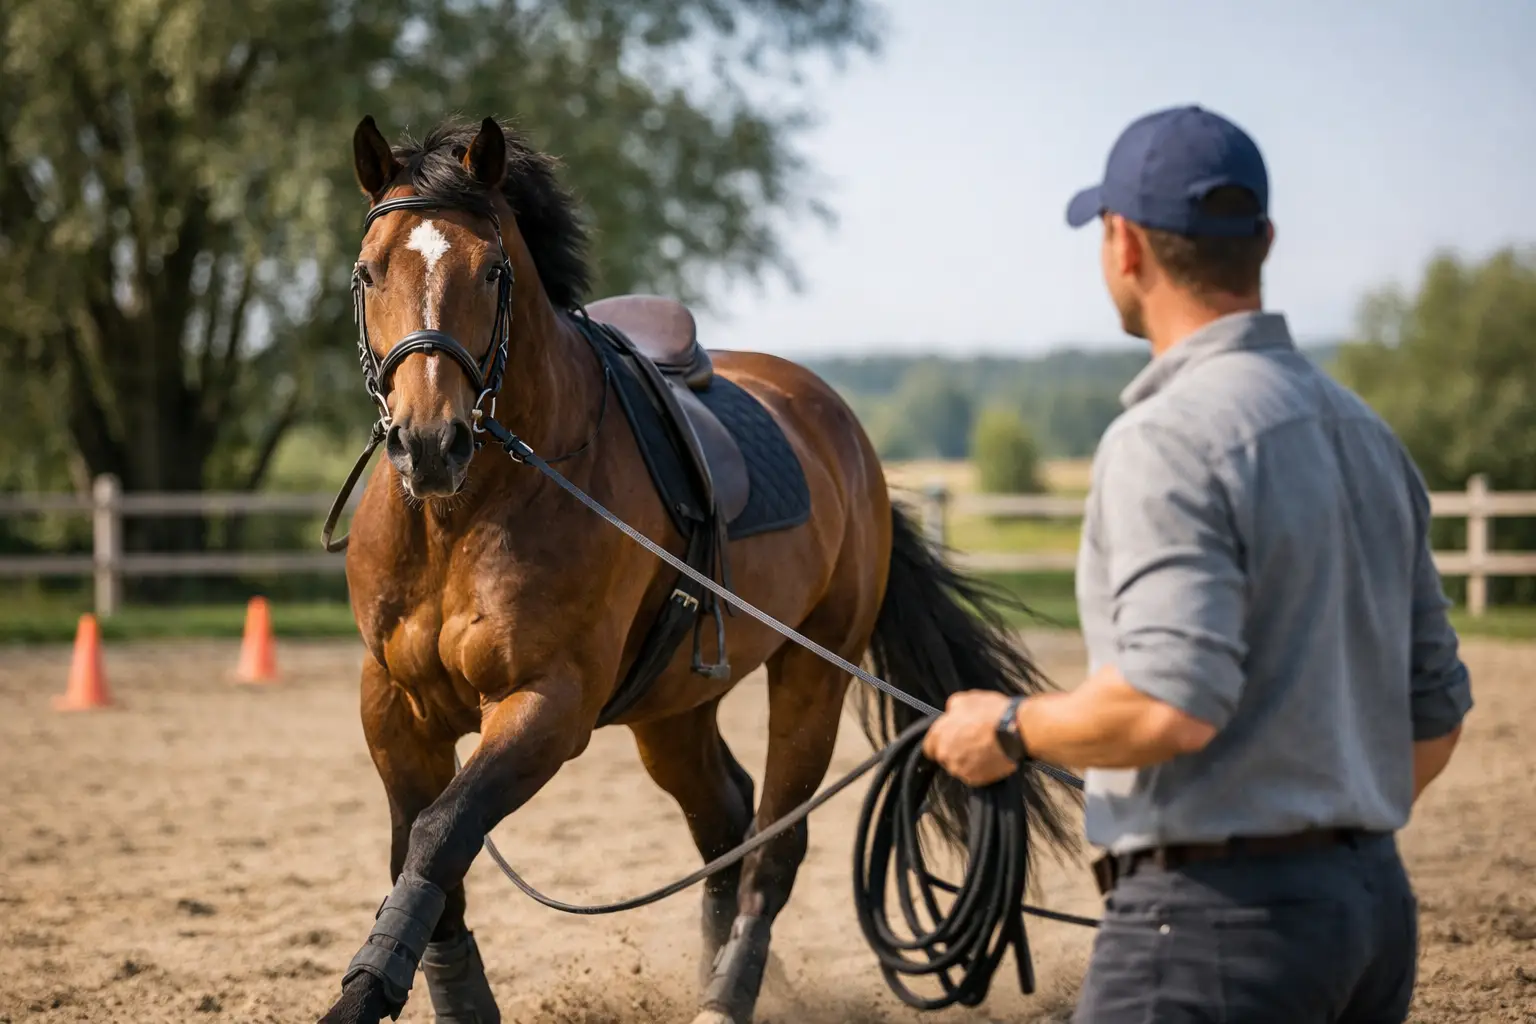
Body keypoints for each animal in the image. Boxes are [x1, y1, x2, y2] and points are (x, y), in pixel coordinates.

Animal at [318, 112, 1076, 1024]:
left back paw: (728, 992)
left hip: (814, 675)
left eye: (493, 271)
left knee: (775, 843)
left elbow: (440, 836)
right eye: (368, 272)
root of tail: (845, 434)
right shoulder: (393, 705)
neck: (462, 516)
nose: (430, 443)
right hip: (672, 711)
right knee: (724, 820)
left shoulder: (547, 704)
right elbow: (421, 858)